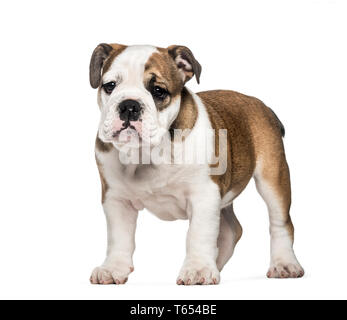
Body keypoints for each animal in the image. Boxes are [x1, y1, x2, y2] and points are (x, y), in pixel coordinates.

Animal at [89, 43, 304, 284]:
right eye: (110, 86)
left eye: (158, 91)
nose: (129, 105)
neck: (148, 153)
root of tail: (262, 105)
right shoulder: (116, 199)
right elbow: (119, 238)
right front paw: (113, 268)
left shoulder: (204, 195)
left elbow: (198, 234)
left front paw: (198, 269)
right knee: (232, 230)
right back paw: (216, 263)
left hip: (272, 177)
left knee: (280, 222)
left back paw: (284, 264)